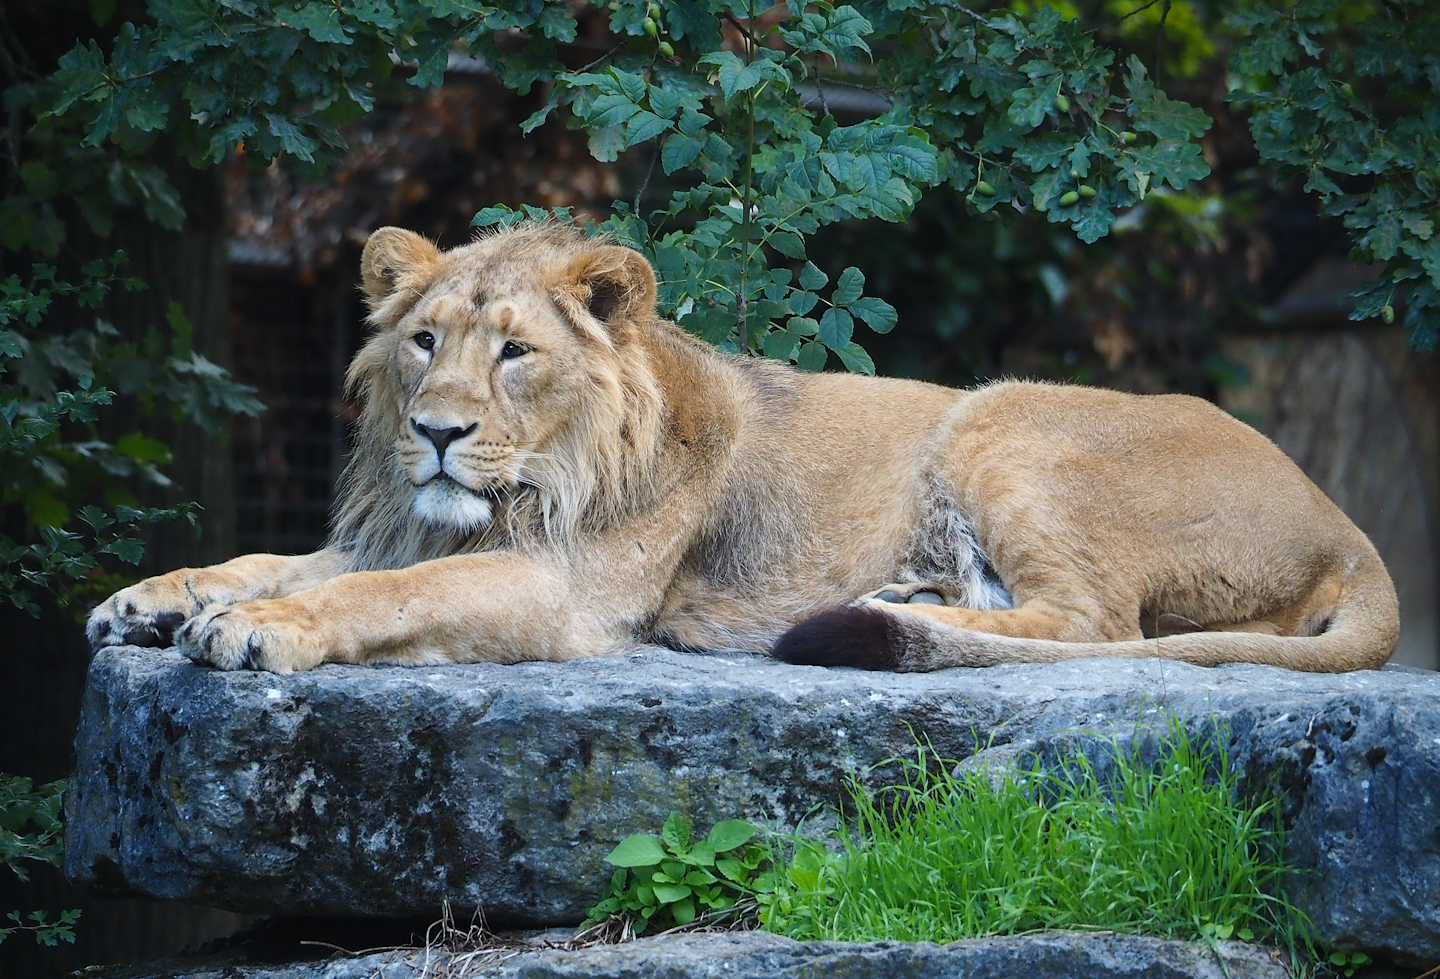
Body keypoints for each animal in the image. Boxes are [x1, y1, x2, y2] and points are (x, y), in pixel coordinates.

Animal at [87, 221, 1399, 675]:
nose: (437, 433)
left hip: (999, 415)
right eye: (423, 342)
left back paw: (881, 618)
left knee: (1096, 625)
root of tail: (1345, 519)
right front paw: (149, 600)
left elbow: (385, 593)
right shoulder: (400, 528)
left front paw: (258, 631)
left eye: (513, 353)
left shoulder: (573, 591)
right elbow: (268, 560)